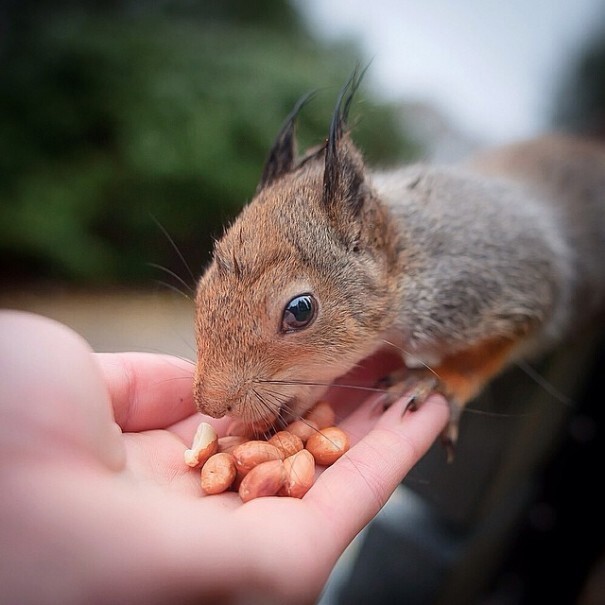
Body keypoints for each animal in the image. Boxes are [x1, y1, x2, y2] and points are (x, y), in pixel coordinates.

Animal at [191, 71, 604, 456]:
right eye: (201, 287)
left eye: (301, 310)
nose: (212, 405)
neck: (409, 262)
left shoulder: (507, 285)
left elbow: (500, 345)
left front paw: (438, 379)